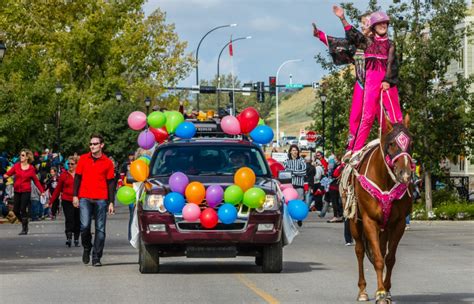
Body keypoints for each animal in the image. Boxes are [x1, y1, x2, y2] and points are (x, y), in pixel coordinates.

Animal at [346, 114, 412, 304]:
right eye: (391, 144)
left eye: (411, 143)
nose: (405, 173)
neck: (385, 179)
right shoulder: (370, 221)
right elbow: (377, 259)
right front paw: (381, 293)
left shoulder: (398, 224)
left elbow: (389, 258)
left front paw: (386, 290)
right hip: (355, 223)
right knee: (360, 251)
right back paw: (362, 291)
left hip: (385, 228)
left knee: (381, 251)